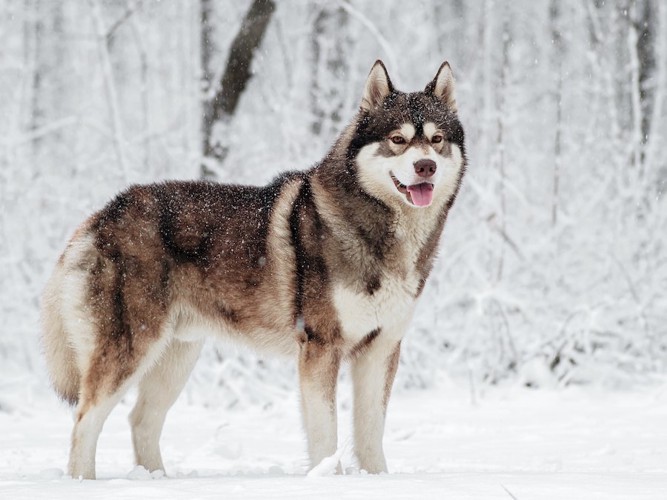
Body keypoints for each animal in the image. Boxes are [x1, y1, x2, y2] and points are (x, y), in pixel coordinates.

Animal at [41, 60, 468, 478]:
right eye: (397, 140)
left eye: (436, 140)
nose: (426, 166)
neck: (381, 232)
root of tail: (101, 215)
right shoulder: (320, 347)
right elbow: (326, 436)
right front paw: (328, 482)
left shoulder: (381, 350)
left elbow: (370, 434)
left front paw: (377, 482)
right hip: (130, 351)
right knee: (85, 421)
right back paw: (83, 483)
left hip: (177, 356)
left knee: (141, 420)